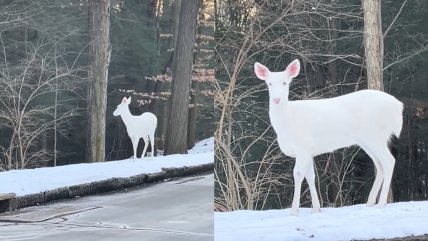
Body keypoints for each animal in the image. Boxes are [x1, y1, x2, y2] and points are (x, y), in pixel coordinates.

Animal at [256, 59, 402, 216]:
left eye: (285, 82)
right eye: (269, 83)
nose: (276, 99)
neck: (287, 123)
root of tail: (398, 106)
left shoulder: (302, 147)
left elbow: (298, 174)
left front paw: (294, 211)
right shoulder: (308, 150)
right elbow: (311, 176)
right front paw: (316, 209)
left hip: (375, 135)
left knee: (389, 161)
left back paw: (381, 204)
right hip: (367, 140)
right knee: (379, 165)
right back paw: (369, 204)